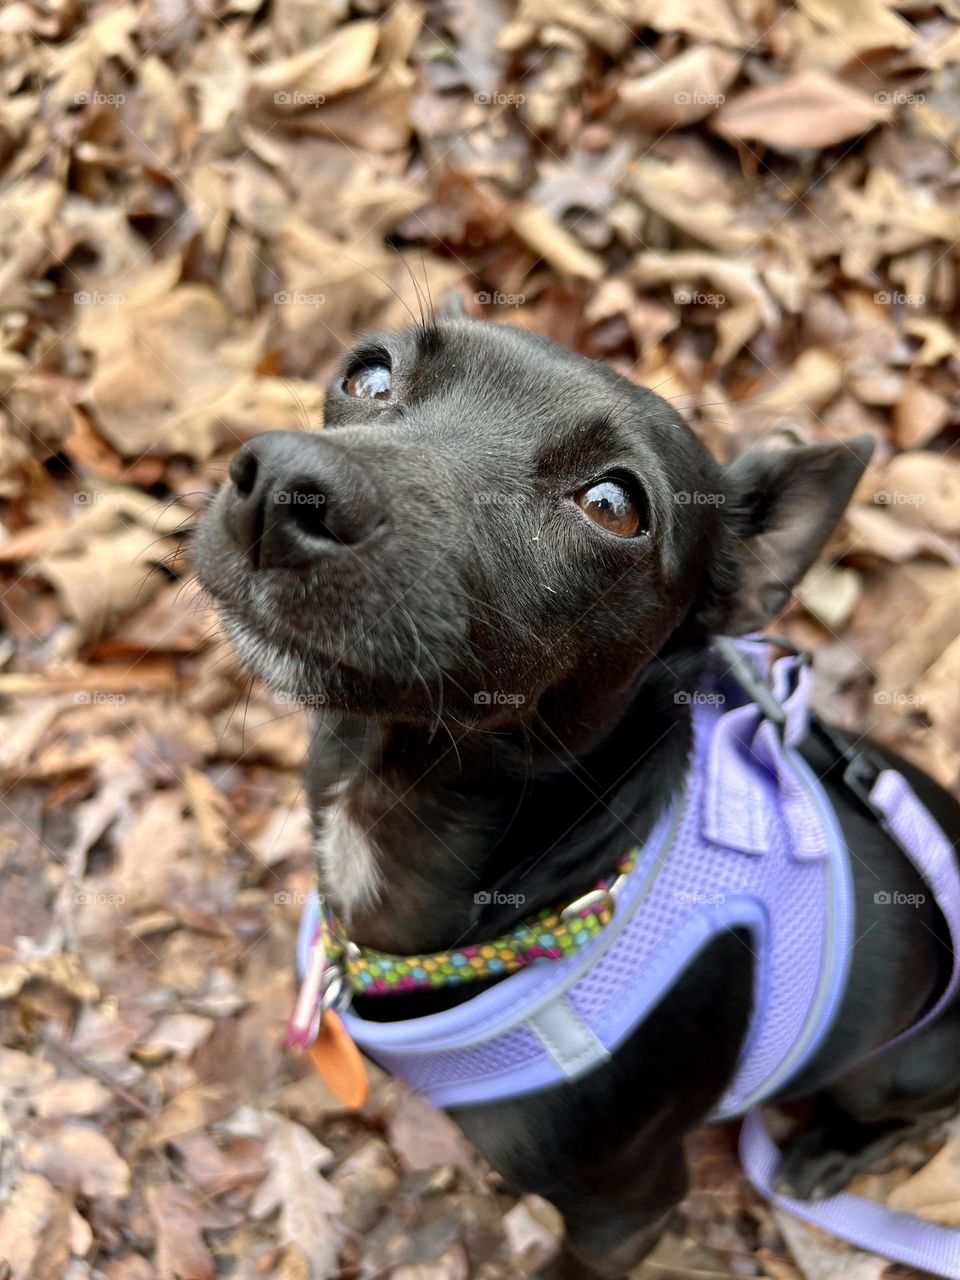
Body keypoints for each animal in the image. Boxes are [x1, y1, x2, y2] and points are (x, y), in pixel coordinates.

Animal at [193, 312, 960, 1280]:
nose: (286, 485)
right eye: (369, 376)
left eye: (612, 505)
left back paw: (826, 1155)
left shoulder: (623, 1214)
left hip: (893, 1069)